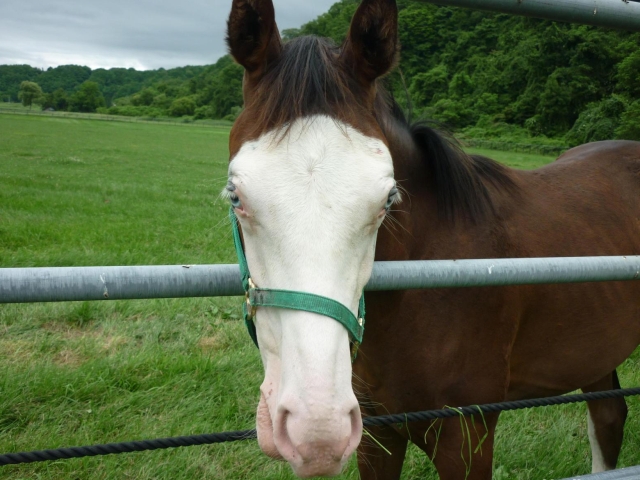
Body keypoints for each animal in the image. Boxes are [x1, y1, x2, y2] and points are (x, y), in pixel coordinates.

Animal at [225, 0, 640, 476]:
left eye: (387, 199)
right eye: (234, 195)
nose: (316, 430)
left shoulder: (467, 437)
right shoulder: (378, 435)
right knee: (608, 416)